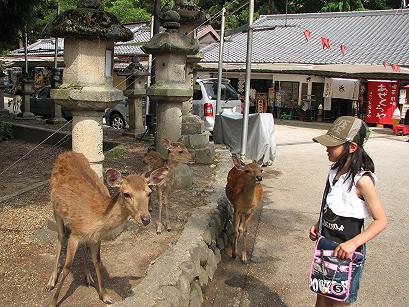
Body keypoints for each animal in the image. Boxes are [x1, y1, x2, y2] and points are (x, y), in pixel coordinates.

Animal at [44, 152, 166, 307]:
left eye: (149, 192)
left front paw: (105, 295)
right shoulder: (75, 234)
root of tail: (65, 153)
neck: (97, 216)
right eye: (126, 194)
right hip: (55, 208)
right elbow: (67, 267)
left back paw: (88, 277)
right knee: (60, 236)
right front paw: (53, 302)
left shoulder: (95, 237)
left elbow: (97, 261)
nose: (146, 219)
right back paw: (51, 282)